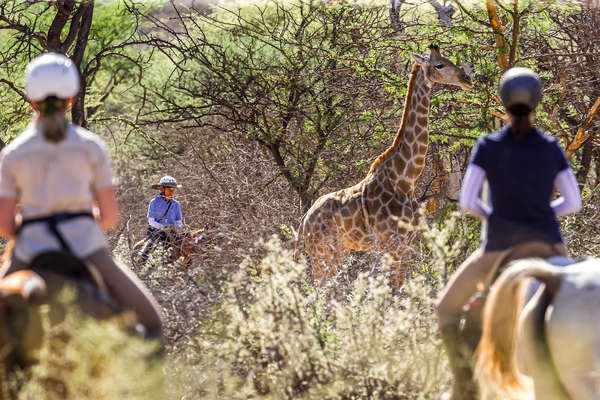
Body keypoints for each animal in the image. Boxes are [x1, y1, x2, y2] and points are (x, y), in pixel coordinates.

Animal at [298, 45, 472, 290]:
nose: (467, 79)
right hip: (322, 252)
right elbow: (392, 292)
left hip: (339, 250)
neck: (405, 180)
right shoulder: (390, 244)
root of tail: (304, 222)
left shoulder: (407, 243)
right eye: (439, 65)